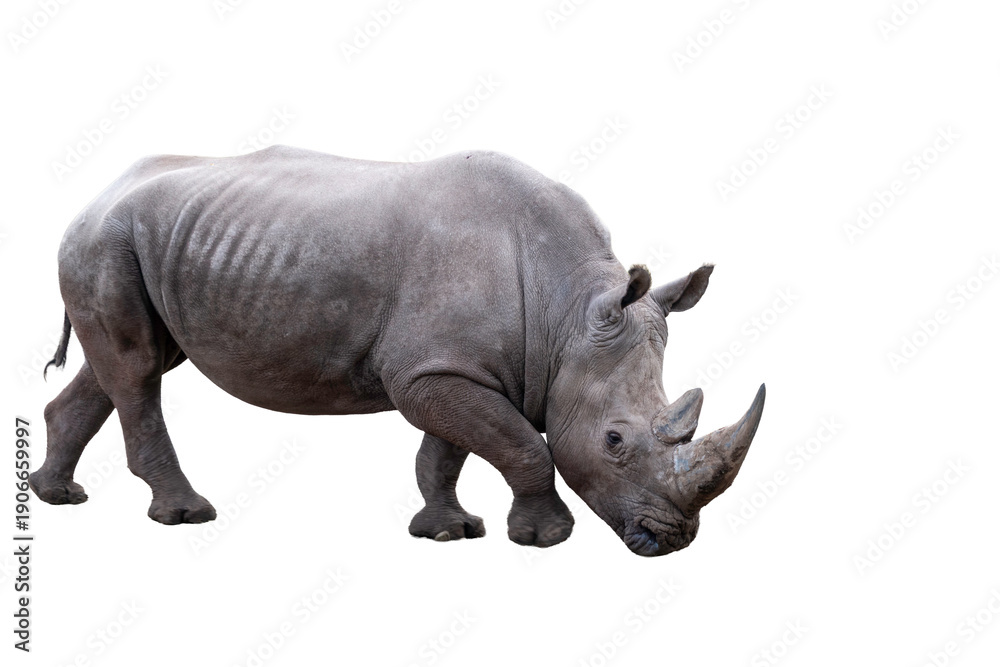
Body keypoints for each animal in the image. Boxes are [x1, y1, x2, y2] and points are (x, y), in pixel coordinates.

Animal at [30, 146, 764, 557]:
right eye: (614, 440)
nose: (674, 541)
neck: (567, 313)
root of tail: (95, 194)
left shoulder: (455, 366)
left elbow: (449, 450)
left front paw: (447, 532)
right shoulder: (435, 371)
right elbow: (521, 443)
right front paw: (544, 539)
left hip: (146, 240)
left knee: (125, 365)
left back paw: (57, 496)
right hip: (107, 239)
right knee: (137, 369)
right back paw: (185, 515)